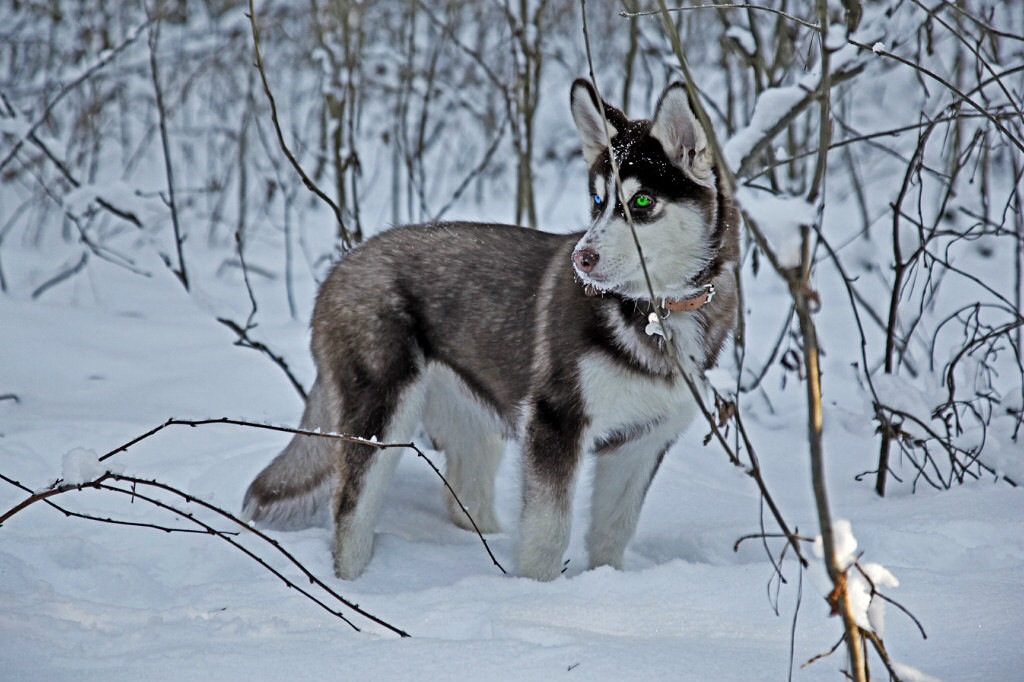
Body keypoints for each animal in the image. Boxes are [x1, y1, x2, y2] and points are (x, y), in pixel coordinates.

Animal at [243, 79, 741, 577]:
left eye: (641, 202)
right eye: (598, 201)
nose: (582, 259)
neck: (655, 312)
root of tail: (343, 264)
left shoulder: (640, 441)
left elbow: (613, 533)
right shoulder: (555, 422)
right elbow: (548, 532)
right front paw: (537, 590)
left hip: (473, 422)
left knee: (460, 497)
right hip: (382, 418)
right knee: (350, 513)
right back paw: (351, 584)